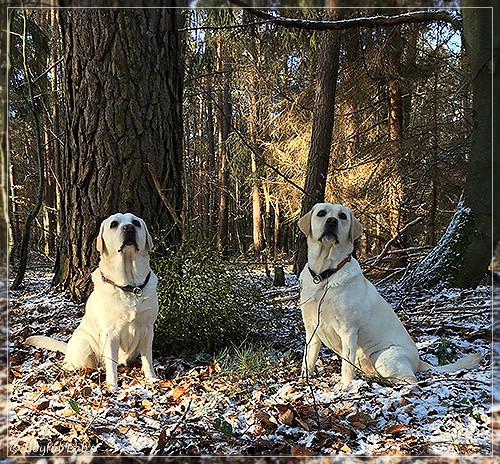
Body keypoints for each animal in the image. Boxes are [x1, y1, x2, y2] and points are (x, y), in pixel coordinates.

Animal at [26, 214, 158, 392]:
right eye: (114, 224)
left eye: (136, 223)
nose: (129, 228)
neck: (130, 286)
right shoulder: (111, 334)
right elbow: (111, 364)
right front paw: (112, 386)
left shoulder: (147, 329)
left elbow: (148, 359)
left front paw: (152, 378)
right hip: (84, 346)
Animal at [298, 201, 482, 386]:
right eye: (321, 213)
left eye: (342, 216)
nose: (332, 221)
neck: (325, 275)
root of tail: (419, 361)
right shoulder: (312, 328)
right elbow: (308, 358)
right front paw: (303, 380)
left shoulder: (348, 330)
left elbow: (346, 365)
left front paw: (346, 386)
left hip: (383, 357)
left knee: (411, 379)